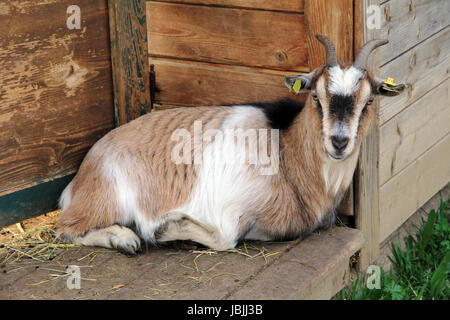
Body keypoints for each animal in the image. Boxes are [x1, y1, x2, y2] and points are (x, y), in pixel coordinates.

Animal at [55, 35, 404, 254]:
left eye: (369, 101)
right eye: (316, 97)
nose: (339, 142)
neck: (287, 159)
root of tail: (81, 176)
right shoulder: (232, 206)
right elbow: (227, 238)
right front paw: (168, 228)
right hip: (110, 195)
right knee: (67, 228)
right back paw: (125, 240)